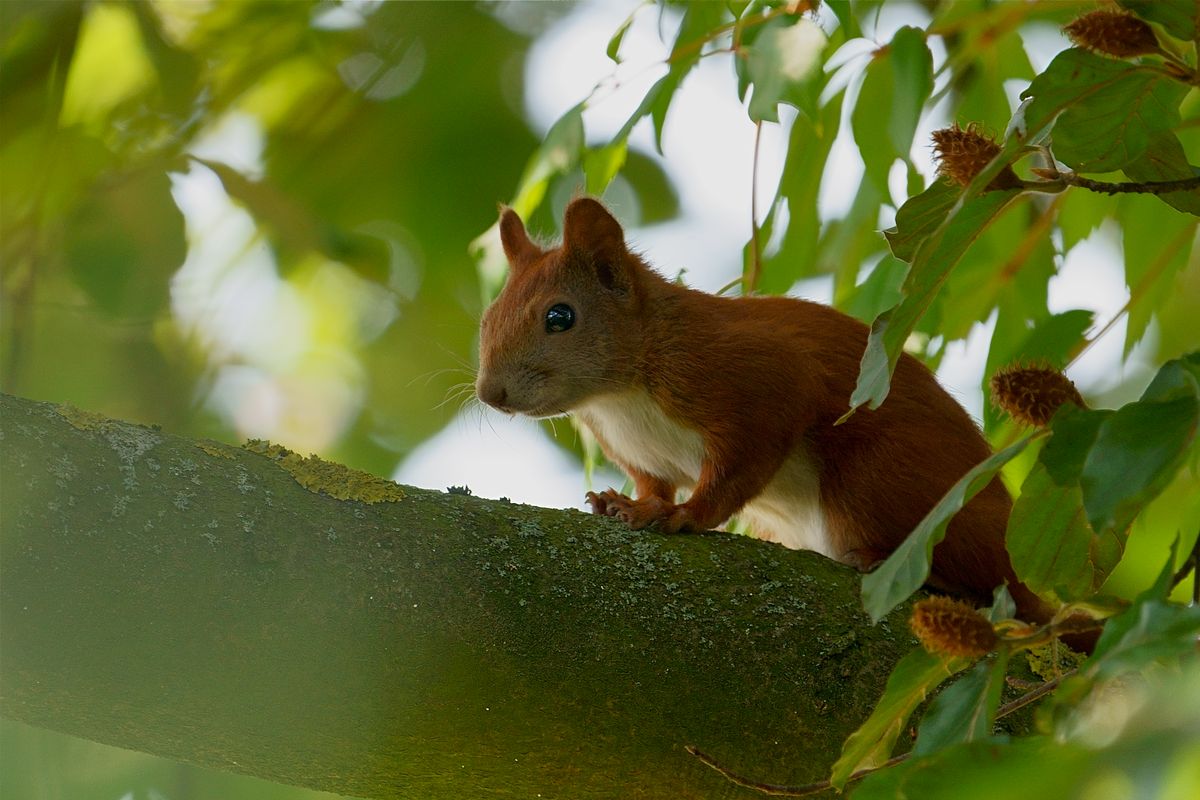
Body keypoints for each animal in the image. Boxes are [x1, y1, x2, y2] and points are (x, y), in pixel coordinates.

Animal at [472, 196, 1056, 628]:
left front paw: (685, 516)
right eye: (487, 316)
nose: (489, 393)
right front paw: (625, 502)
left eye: (560, 316)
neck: (619, 397)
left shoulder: (754, 384)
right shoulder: (638, 451)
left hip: (877, 481)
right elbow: (654, 482)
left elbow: (738, 469)